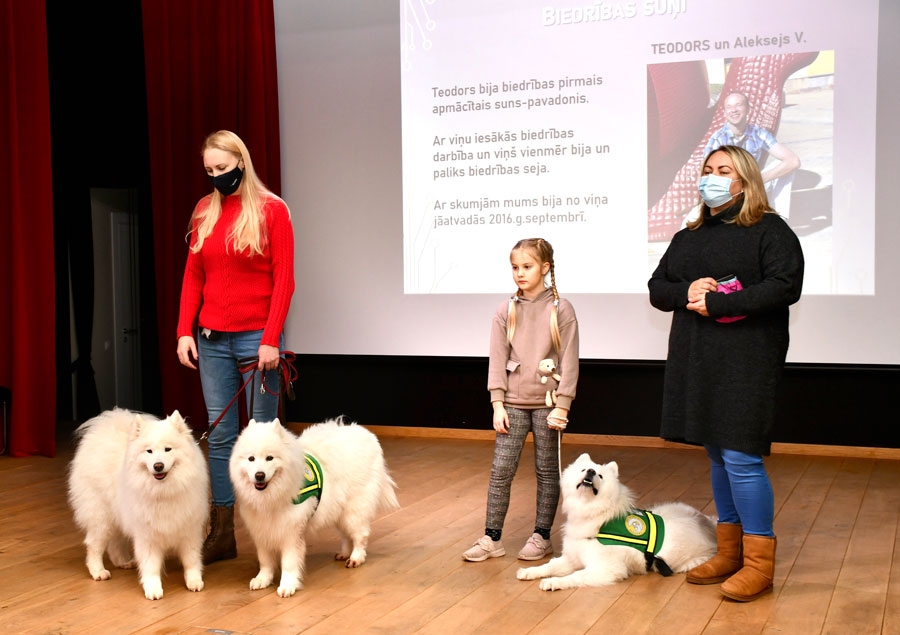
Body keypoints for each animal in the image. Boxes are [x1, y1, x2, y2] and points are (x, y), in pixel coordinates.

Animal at [67, 408, 209, 600]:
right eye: (149, 451)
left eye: (168, 449)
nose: (158, 466)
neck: (163, 492)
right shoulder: (147, 535)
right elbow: (151, 566)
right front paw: (153, 589)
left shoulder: (189, 531)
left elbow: (191, 560)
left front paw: (194, 581)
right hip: (101, 518)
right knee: (94, 546)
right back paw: (98, 571)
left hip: (118, 514)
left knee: (115, 542)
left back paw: (123, 562)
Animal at [230, 420, 400, 600]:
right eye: (251, 459)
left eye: (270, 458)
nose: (259, 475)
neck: (271, 498)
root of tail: (368, 435)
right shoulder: (262, 531)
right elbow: (265, 561)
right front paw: (262, 579)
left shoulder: (291, 533)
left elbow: (289, 563)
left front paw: (287, 586)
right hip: (339, 511)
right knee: (347, 536)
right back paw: (344, 553)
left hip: (353, 511)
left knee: (360, 536)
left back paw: (356, 558)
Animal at [516, 452, 712, 592]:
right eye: (583, 469)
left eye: (600, 476)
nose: (591, 471)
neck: (592, 514)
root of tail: (708, 523)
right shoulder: (571, 558)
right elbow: (549, 565)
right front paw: (530, 571)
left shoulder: (605, 568)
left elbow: (575, 576)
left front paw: (553, 582)